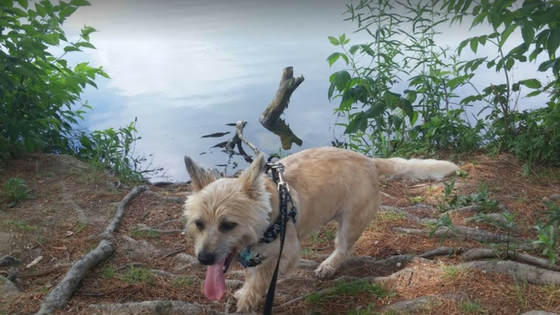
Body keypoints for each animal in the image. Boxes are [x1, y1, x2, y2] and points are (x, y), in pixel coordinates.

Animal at [184, 147, 460, 312]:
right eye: (199, 224)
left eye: (228, 225)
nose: (203, 259)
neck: (270, 206)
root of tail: (370, 161)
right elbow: (252, 273)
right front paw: (244, 290)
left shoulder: (286, 254)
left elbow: (261, 278)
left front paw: (247, 300)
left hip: (350, 223)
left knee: (344, 248)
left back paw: (328, 265)